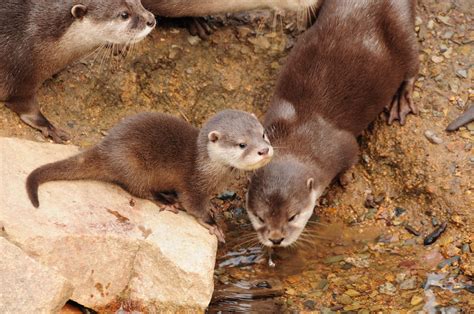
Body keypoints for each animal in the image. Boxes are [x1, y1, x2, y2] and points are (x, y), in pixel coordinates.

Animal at [0, 0, 156, 142]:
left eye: (139, 2)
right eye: (124, 15)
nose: (151, 20)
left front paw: (117, 46)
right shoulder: (21, 72)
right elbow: (24, 105)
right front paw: (50, 128)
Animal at [25, 110, 274, 243]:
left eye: (263, 134)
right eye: (242, 144)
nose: (264, 150)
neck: (209, 168)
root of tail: (105, 148)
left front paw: (212, 207)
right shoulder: (192, 185)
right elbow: (193, 205)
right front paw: (213, 225)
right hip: (134, 166)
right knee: (139, 190)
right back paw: (167, 201)